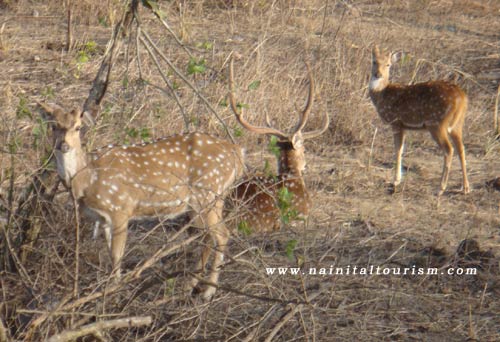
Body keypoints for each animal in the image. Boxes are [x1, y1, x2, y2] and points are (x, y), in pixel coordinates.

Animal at [37, 102, 244, 300]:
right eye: (53, 126)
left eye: (78, 127)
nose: (63, 145)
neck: (87, 179)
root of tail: (238, 152)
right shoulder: (103, 219)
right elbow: (110, 253)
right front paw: (108, 287)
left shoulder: (120, 208)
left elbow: (117, 254)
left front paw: (112, 292)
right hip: (203, 202)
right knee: (208, 236)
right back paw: (189, 286)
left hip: (209, 192)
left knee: (222, 234)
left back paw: (209, 291)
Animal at [368, 45, 468, 195]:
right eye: (374, 61)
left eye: (388, 64)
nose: (377, 74)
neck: (382, 94)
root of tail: (463, 99)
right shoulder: (403, 126)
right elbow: (401, 149)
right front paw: (397, 179)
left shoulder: (396, 122)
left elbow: (398, 149)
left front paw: (395, 181)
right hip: (457, 125)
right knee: (461, 148)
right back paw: (465, 188)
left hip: (437, 123)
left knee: (449, 149)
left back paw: (440, 188)